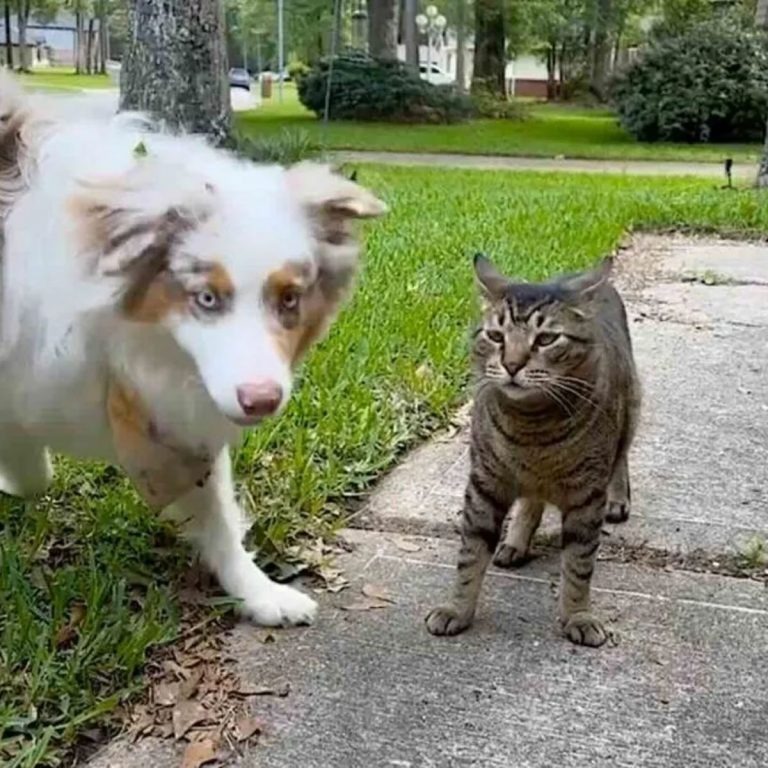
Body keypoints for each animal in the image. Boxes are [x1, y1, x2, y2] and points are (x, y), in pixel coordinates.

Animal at [0, 76, 388, 632]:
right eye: (206, 298)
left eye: (289, 299)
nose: (260, 400)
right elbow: (33, 465)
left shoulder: (176, 413)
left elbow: (216, 510)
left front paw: (259, 591)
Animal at [426, 255, 640, 644]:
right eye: (496, 336)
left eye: (546, 339)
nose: (511, 364)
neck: (531, 433)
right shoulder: (484, 484)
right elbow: (470, 555)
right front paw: (457, 609)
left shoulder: (587, 496)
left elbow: (578, 565)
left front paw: (578, 615)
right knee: (531, 501)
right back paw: (516, 540)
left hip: (630, 408)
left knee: (621, 459)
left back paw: (618, 498)